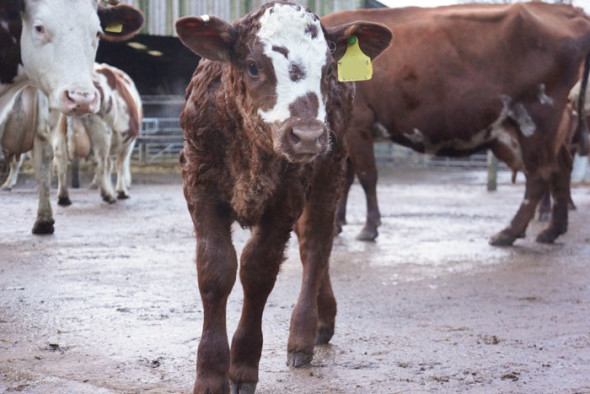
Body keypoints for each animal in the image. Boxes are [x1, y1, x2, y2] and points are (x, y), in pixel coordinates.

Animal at [0, 0, 145, 234]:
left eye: (97, 32)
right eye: (39, 28)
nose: (82, 98)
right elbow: (119, 162)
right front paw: (121, 190)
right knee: (101, 161)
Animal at [175, 2, 394, 390]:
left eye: (328, 68)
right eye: (252, 66)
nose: (307, 136)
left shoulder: (285, 199)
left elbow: (258, 271)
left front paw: (243, 366)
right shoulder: (200, 188)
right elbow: (215, 271)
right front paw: (211, 374)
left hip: (329, 172)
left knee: (316, 246)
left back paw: (304, 333)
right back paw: (324, 317)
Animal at [324, 3, 590, 245]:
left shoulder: (359, 124)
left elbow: (365, 176)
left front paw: (368, 227)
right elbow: (344, 179)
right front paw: (337, 224)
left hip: (537, 117)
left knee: (539, 176)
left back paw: (509, 232)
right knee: (560, 168)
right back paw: (552, 229)